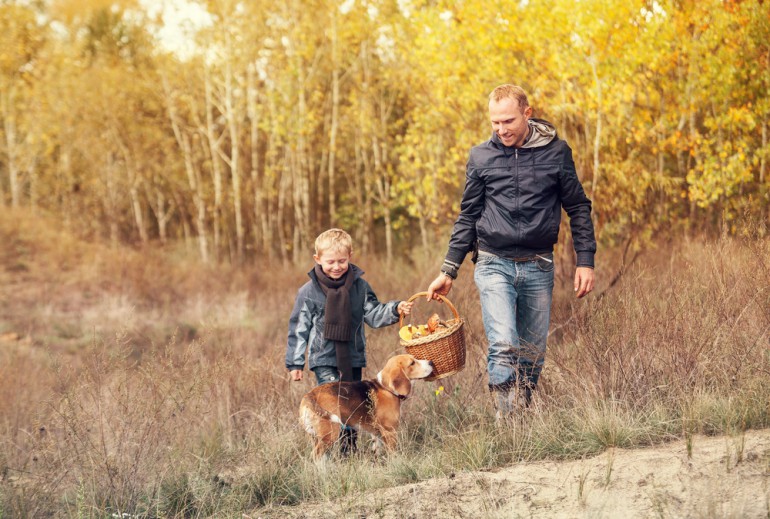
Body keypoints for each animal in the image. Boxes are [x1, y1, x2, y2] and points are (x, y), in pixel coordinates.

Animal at [298, 356, 432, 462]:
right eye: (412, 363)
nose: (431, 362)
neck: (386, 388)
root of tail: (310, 395)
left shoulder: (377, 434)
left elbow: (377, 451)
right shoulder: (390, 431)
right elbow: (393, 453)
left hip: (315, 436)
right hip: (329, 435)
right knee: (316, 455)